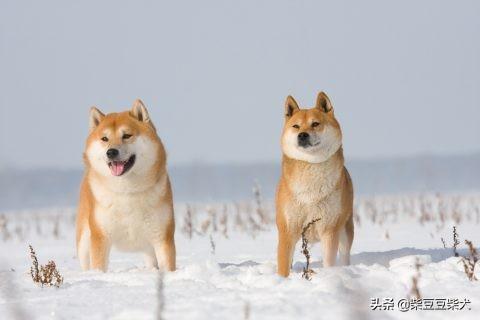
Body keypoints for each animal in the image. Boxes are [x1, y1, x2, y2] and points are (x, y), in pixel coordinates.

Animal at [76, 99, 176, 272]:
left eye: (127, 135)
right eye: (104, 138)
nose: (111, 152)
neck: (127, 191)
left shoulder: (162, 237)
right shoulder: (100, 237)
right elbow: (99, 267)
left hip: (148, 247)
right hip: (84, 243)